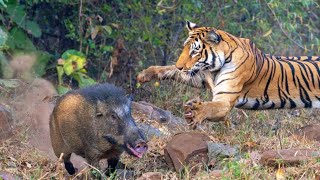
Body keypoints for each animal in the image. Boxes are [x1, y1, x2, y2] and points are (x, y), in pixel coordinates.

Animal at [137, 21, 320, 128]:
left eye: (194, 51)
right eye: (184, 47)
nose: (180, 66)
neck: (214, 67)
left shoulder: (225, 98)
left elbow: (211, 107)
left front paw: (195, 112)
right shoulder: (199, 76)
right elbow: (169, 69)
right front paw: (146, 74)